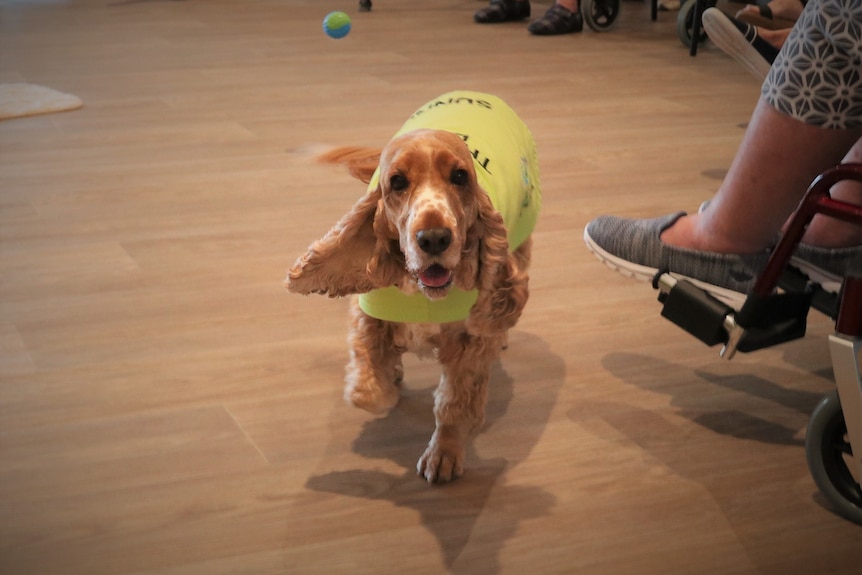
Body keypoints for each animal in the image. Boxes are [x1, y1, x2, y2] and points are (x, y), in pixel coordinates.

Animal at [286, 91, 544, 486]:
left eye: (459, 177)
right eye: (397, 182)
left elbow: (454, 403)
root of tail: (481, 94)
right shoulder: (367, 316)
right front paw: (388, 379)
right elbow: (368, 391)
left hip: (521, 241)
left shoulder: (468, 344)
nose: (434, 238)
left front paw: (444, 455)